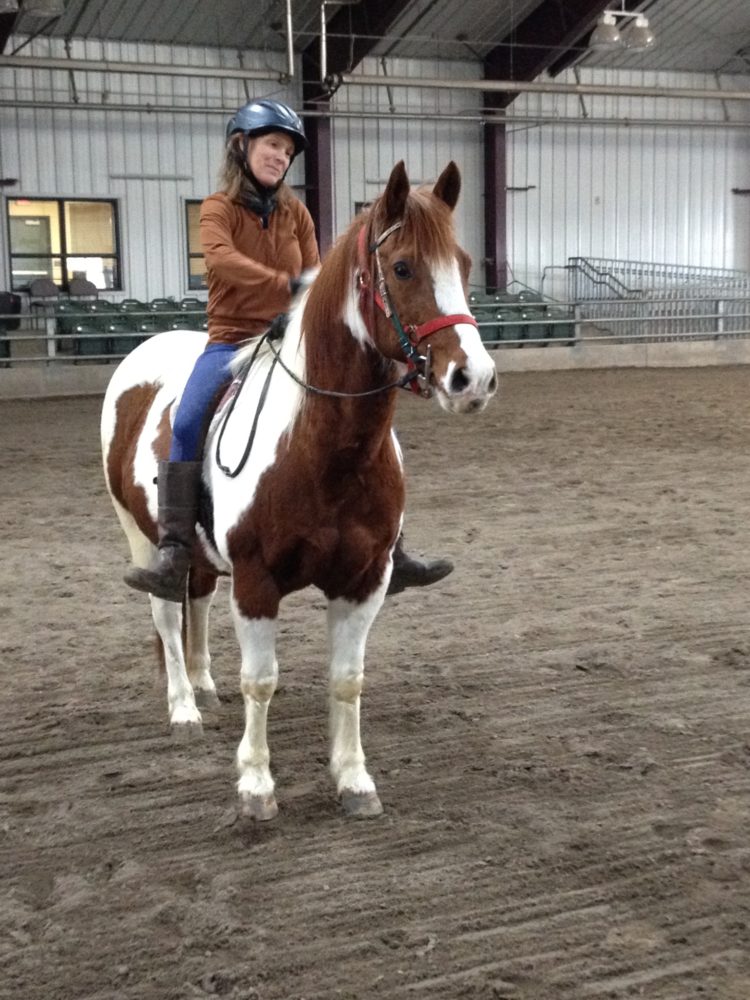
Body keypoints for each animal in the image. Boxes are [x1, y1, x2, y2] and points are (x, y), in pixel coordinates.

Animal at [100, 160, 497, 820]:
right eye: (403, 267)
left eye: (465, 265)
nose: (474, 378)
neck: (322, 451)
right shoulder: (257, 581)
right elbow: (261, 681)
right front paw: (256, 785)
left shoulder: (364, 581)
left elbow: (347, 680)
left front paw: (354, 779)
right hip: (140, 536)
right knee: (166, 611)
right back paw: (183, 707)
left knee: (197, 598)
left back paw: (203, 686)